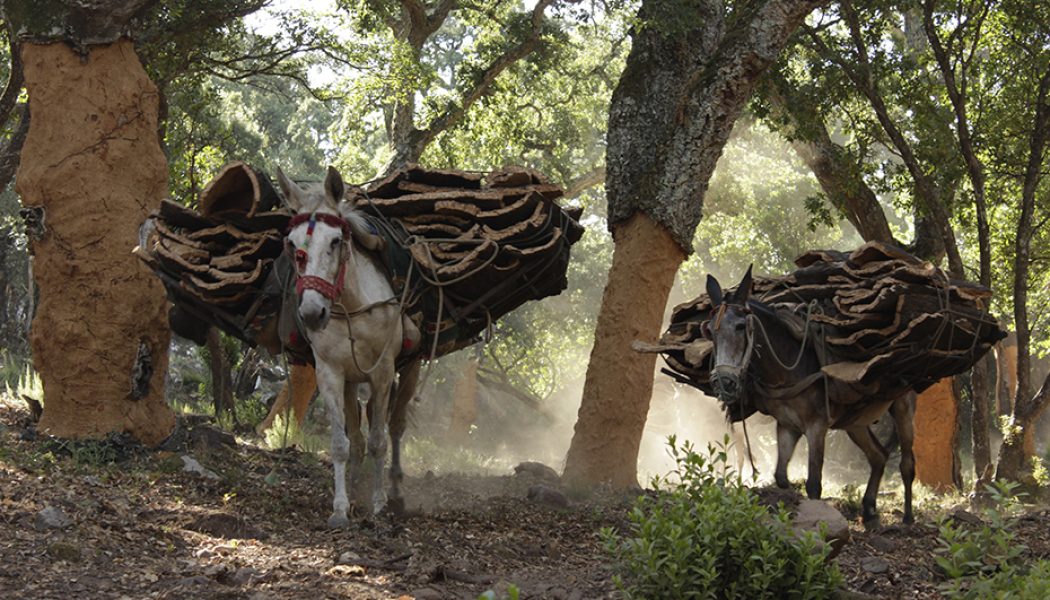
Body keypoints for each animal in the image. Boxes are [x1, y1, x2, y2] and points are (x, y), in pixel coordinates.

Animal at [283, 167, 422, 527]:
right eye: (292, 244)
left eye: (335, 241)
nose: (312, 313)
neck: (352, 307)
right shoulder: (330, 374)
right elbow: (341, 444)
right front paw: (341, 507)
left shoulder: (384, 372)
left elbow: (378, 441)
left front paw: (378, 503)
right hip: (351, 381)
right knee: (358, 436)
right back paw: (357, 486)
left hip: (409, 369)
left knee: (395, 426)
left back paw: (395, 490)